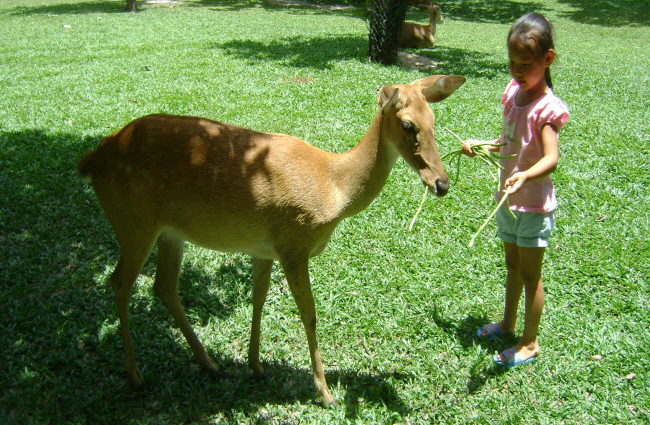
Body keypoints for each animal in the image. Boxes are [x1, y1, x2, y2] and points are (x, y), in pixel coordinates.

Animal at [77, 74, 466, 406]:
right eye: (408, 125)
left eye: (434, 119)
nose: (442, 183)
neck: (333, 187)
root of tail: (92, 160)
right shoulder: (293, 244)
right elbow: (309, 314)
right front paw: (325, 392)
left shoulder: (263, 248)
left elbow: (258, 299)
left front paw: (256, 365)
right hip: (133, 222)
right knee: (120, 282)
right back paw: (135, 374)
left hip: (169, 232)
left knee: (163, 286)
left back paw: (209, 363)